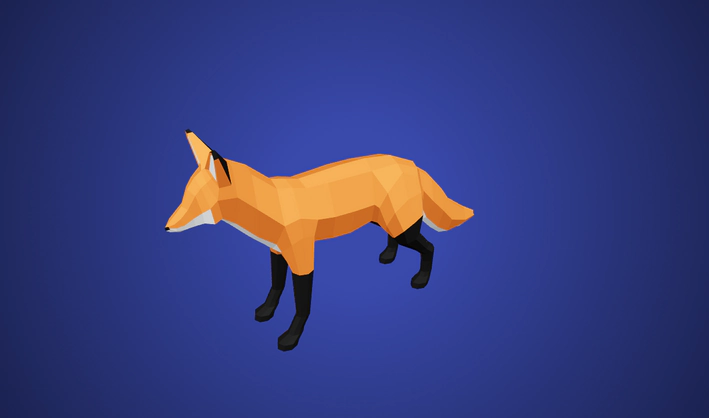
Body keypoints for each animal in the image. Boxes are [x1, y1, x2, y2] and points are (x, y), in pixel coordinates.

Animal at [165, 130, 474, 351]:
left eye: (194, 203)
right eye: (184, 197)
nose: (166, 227)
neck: (272, 207)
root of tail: (411, 162)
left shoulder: (302, 258)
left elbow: (302, 306)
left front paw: (291, 337)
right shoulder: (276, 252)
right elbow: (275, 287)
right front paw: (267, 310)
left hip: (404, 229)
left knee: (430, 246)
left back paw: (422, 278)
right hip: (386, 222)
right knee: (394, 239)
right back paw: (388, 255)